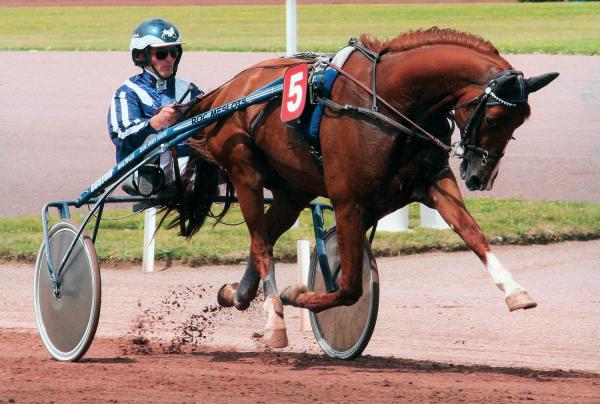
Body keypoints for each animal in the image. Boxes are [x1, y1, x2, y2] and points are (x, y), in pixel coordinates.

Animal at [178, 28, 556, 348]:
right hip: (245, 172)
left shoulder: (432, 183)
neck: (389, 103)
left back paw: (238, 294)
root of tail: (228, 90)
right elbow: (348, 288)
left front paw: (515, 290)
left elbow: (472, 232)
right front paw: (296, 295)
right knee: (260, 244)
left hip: (293, 189)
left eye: (520, 121)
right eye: (493, 118)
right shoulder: (349, 201)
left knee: (266, 236)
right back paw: (274, 318)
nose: (481, 177)